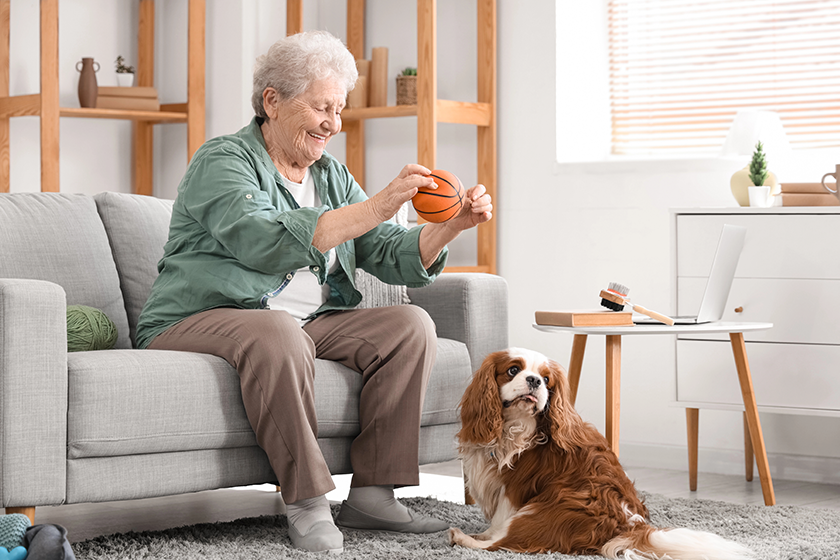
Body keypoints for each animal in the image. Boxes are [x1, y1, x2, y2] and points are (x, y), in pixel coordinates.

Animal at [450, 348, 752, 556]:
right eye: (513, 370)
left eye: (547, 379)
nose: (535, 381)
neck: (512, 426)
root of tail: (631, 524)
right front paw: (483, 532)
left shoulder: (515, 487)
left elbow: (499, 524)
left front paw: (483, 534)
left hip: (548, 506)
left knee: (506, 542)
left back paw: (463, 538)